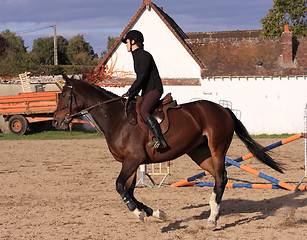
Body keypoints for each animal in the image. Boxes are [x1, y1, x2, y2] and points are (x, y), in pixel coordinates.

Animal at [52, 75, 284, 229]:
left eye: (63, 95)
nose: (55, 121)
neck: (116, 118)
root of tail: (223, 109)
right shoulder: (129, 162)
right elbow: (129, 190)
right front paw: (155, 213)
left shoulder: (133, 160)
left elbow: (120, 187)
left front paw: (139, 213)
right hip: (199, 153)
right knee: (220, 177)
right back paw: (212, 213)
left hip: (217, 148)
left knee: (221, 177)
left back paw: (213, 218)